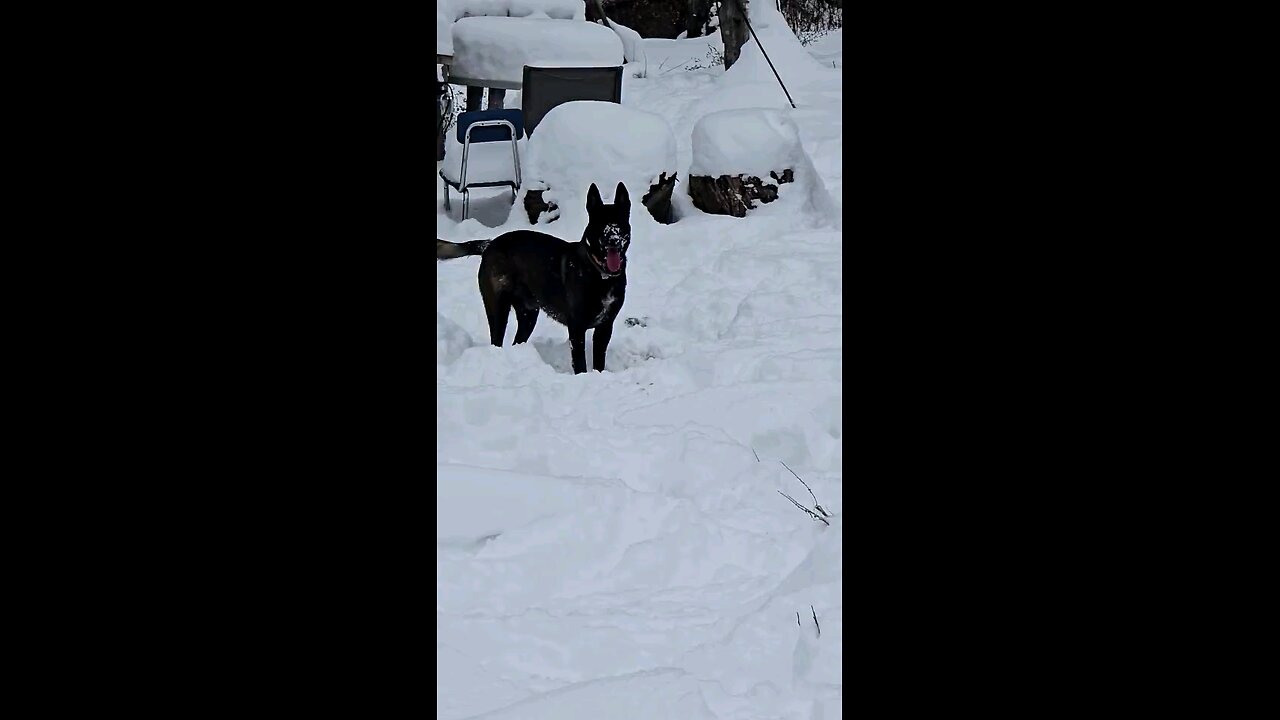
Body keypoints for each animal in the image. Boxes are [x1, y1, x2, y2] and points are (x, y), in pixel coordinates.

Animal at [437, 181, 632, 371]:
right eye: (600, 223)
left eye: (620, 221)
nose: (613, 240)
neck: (600, 273)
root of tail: (490, 245)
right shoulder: (577, 328)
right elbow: (580, 364)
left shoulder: (605, 327)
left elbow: (599, 362)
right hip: (498, 309)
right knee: (496, 341)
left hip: (528, 314)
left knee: (517, 341)